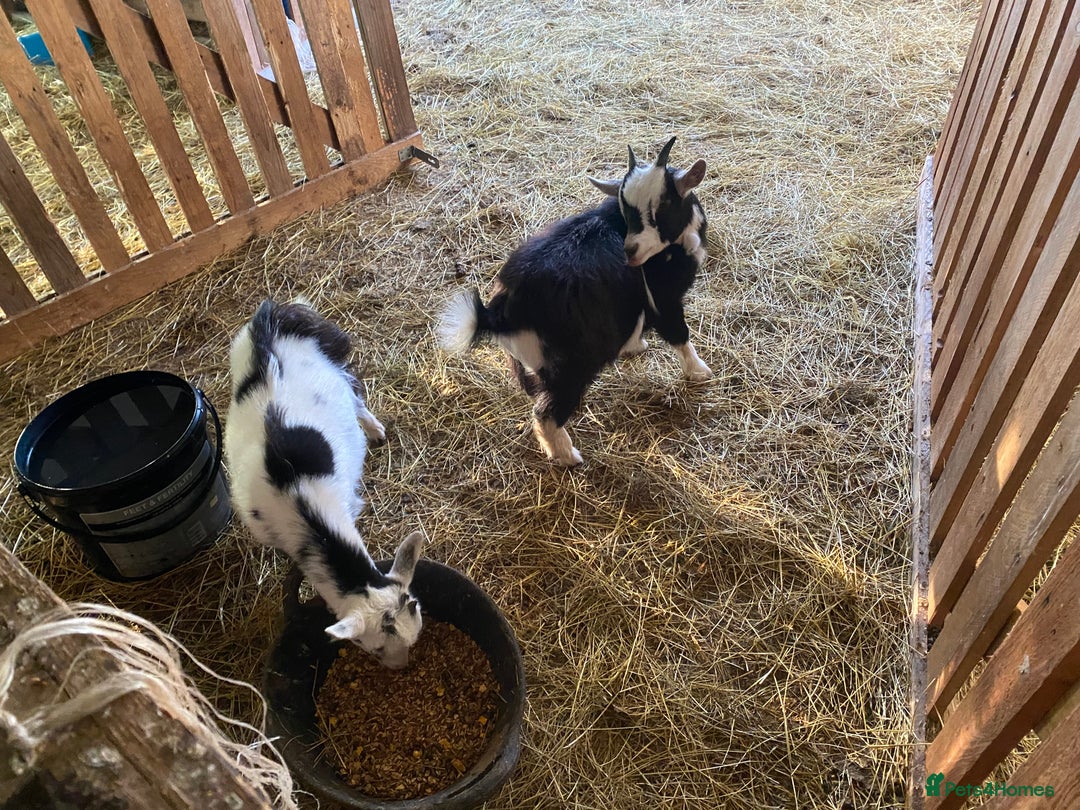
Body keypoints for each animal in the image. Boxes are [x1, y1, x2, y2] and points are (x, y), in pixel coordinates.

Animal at [225, 299, 423, 668]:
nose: (400, 667)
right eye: (370, 647)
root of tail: (270, 317)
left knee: (353, 392)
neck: (298, 503)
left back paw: (375, 431)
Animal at [437, 136, 712, 466]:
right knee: (546, 413)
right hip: (572, 366)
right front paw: (700, 372)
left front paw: (634, 346)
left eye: (664, 205)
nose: (630, 251)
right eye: (627, 209)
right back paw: (567, 456)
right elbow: (679, 334)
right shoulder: (663, 297)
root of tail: (500, 313)